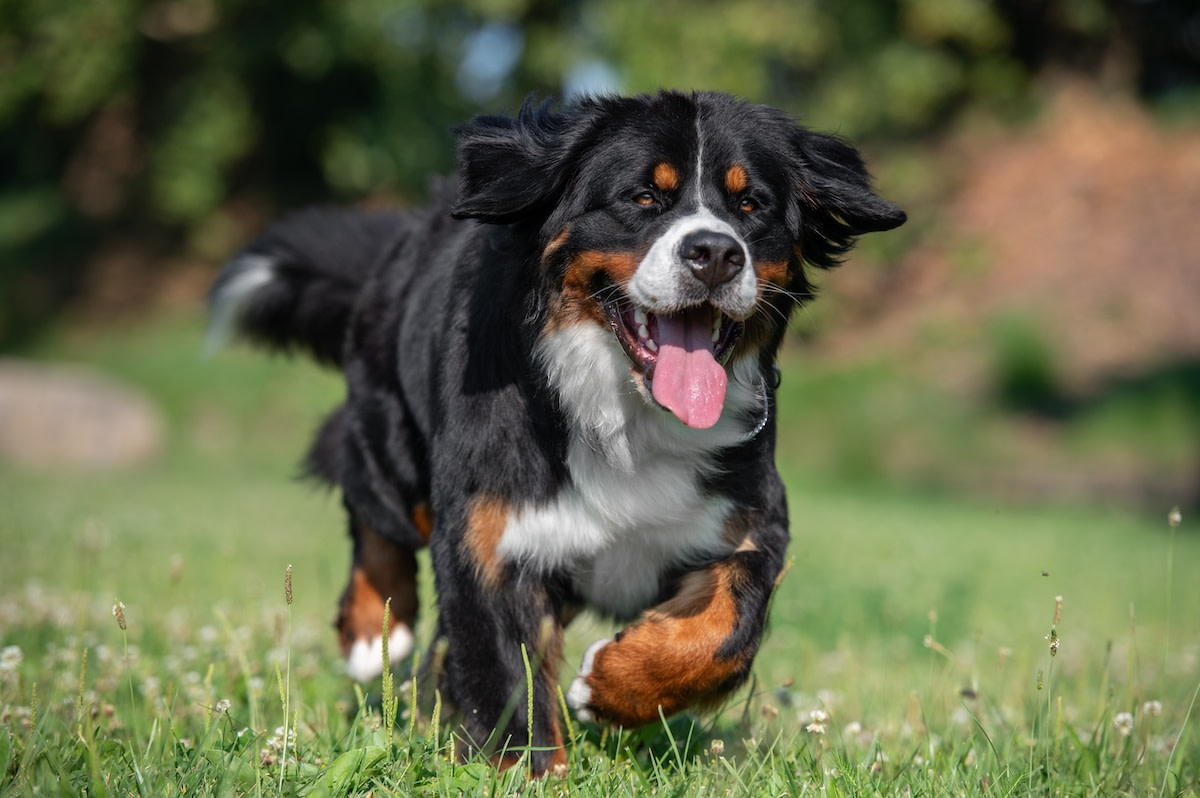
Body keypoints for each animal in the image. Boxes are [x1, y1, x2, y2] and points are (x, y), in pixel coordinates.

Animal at [211, 88, 902, 772]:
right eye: (643, 197)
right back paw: (369, 631)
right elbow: (504, 682)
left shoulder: (748, 520)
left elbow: (725, 634)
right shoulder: (491, 536)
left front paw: (612, 685)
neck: (625, 417)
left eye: (750, 204)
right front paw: (527, 770)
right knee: (367, 498)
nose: (715, 254)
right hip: (392, 445)